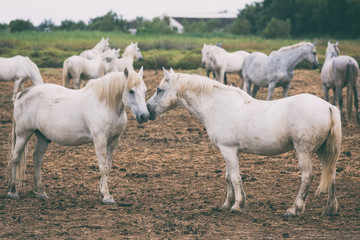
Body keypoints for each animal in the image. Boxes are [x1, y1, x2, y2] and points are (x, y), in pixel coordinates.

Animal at [6, 67, 149, 204]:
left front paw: (102, 193)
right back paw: (13, 191)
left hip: (42, 137)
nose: (144, 116)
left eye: (145, 91)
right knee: (15, 157)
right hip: (23, 134)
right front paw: (106, 196)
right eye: (131, 91)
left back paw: (40, 192)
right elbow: (103, 167)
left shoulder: (113, 142)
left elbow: (108, 168)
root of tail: (22, 94)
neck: (105, 104)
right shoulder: (100, 140)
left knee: (37, 158)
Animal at [148, 68, 342, 217]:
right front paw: (227, 204)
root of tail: (328, 106)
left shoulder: (229, 150)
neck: (217, 106)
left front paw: (237, 205)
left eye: (159, 90)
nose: (148, 111)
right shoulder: (227, 151)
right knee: (331, 175)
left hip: (303, 151)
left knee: (307, 177)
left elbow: (235, 177)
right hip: (323, 152)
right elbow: (228, 177)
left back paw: (295, 209)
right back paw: (330, 210)